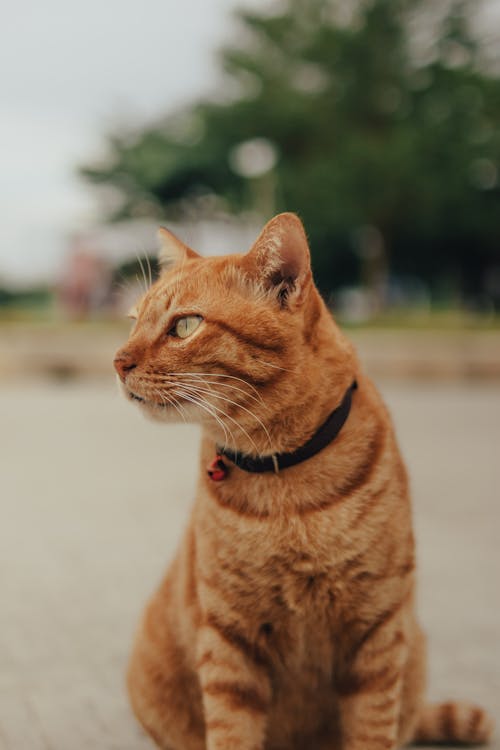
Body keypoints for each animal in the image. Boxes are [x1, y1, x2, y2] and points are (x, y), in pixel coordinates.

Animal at [113, 213, 492, 750]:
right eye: (133, 321)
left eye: (184, 325)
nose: (117, 361)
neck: (282, 474)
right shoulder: (228, 637)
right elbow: (231, 732)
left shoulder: (377, 631)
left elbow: (371, 730)